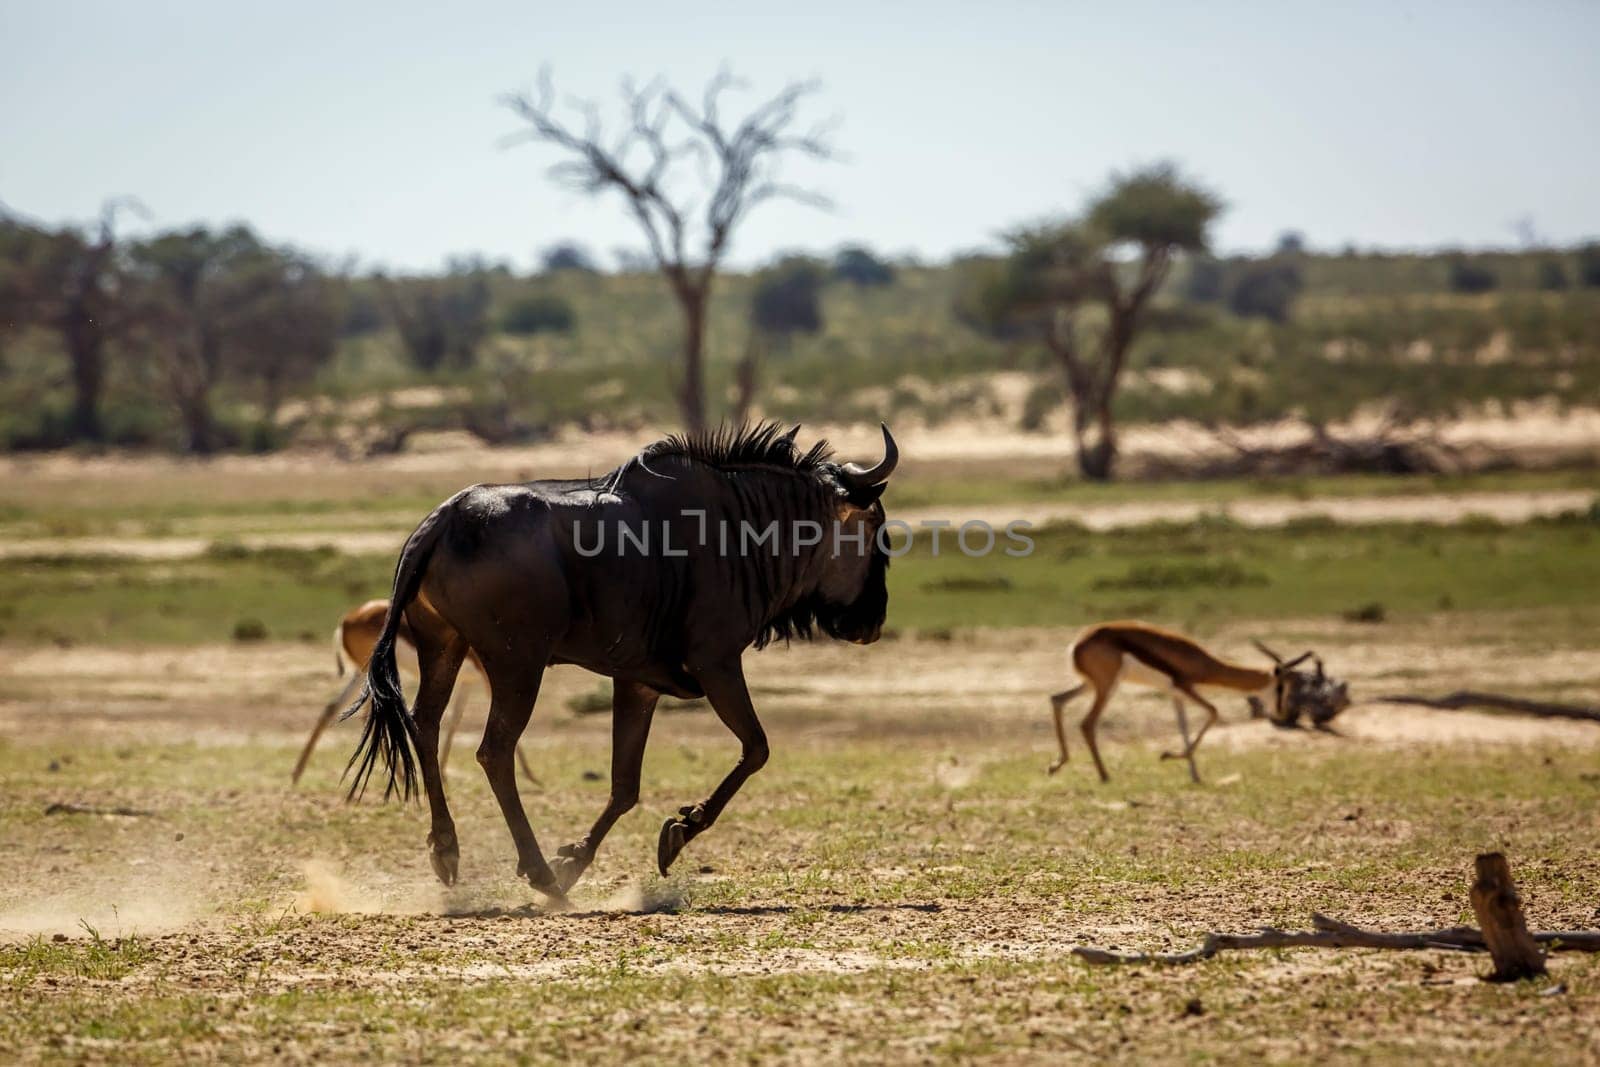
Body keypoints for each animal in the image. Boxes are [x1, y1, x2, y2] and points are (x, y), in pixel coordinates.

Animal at [291, 604, 534, 790]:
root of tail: (347, 620)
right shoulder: (486, 677)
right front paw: (530, 775)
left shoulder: (468, 682)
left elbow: (455, 721)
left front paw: (443, 773)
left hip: (363, 674)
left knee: (335, 707)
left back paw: (297, 774)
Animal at [337, 422, 902, 908]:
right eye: (875, 523)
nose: (873, 622)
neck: (742, 527)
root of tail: (445, 519)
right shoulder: (716, 663)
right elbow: (756, 748)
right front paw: (679, 831)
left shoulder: (638, 682)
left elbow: (624, 785)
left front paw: (577, 861)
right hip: (518, 664)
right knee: (494, 750)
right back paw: (537, 873)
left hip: (444, 648)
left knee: (425, 725)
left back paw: (447, 850)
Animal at [1043, 627, 1318, 783]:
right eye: (1282, 687)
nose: (1281, 712)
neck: (1206, 664)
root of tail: (1077, 644)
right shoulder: (1186, 688)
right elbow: (1213, 712)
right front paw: (1169, 755)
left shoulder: (1176, 695)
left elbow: (1183, 726)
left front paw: (1192, 773)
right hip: (1107, 685)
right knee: (1087, 722)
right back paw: (1104, 775)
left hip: (1092, 684)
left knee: (1057, 699)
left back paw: (1057, 765)